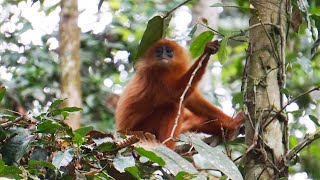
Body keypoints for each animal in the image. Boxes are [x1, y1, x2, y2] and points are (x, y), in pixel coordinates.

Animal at [115, 38, 245, 148]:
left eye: (168, 51)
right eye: (158, 51)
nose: (163, 55)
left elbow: (194, 101)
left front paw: (233, 123)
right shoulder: (155, 74)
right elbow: (176, 93)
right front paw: (206, 50)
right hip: (139, 131)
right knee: (172, 105)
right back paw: (167, 147)